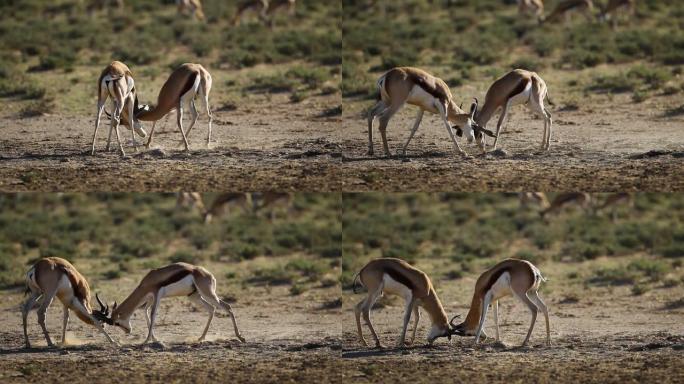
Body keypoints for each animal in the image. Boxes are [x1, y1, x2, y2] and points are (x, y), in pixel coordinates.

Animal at [366, 67, 494, 157]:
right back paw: (388, 152)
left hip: (386, 102)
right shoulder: (443, 106)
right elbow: (448, 128)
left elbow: (414, 128)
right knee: (383, 120)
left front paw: (404, 150)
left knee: (371, 114)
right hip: (398, 103)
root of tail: (386, 76)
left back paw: (371, 150)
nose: (471, 139)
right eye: (473, 125)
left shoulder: (422, 108)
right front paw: (461, 152)